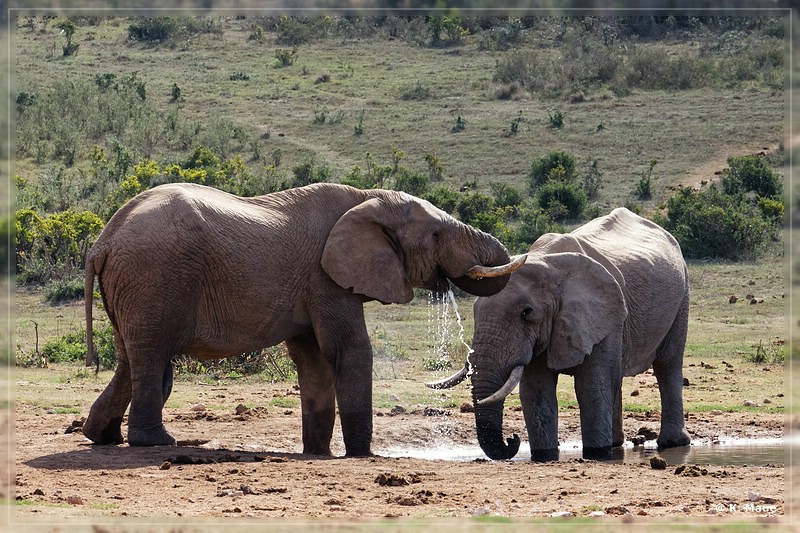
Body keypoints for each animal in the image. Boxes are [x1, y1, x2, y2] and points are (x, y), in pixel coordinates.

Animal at [83, 182, 524, 454]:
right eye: (435, 236)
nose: (515, 440)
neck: (366, 198)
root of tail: (103, 240)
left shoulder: (313, 284)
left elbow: (313, 360)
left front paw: (318, 452)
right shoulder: (326, 277)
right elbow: (349, 349)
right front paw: (362, 455)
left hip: (132, 288)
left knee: (132, 361)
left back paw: (101, 436)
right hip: (153, 279)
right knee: (151, 358)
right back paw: (156, 443)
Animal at [432, 208, 692, 462]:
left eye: (527, 313)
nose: (513, 439)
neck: (548, 263)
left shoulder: (603, 315)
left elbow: (591, 386)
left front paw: (597, 455)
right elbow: (536, 390)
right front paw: (544, 457)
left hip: (683, 295)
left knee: (667, 364)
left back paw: (671, 443)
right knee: (618, 376)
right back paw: (616, 443)